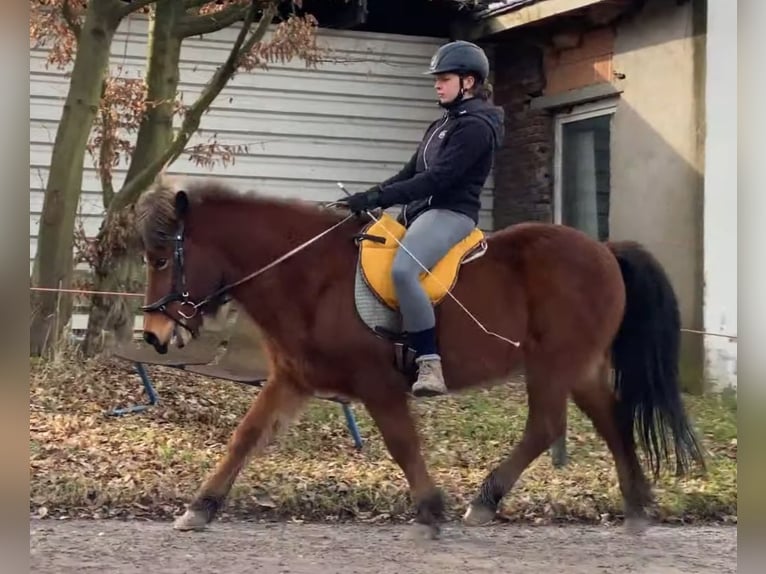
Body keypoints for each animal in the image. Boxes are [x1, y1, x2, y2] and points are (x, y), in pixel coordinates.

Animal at [135, 178, 704, 536]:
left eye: (162, 259)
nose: (154, 334)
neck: (310, 277)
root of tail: (604, 249)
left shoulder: (378, 384)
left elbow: (402, 444)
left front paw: (431, 509)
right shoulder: (292, 380)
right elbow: (245, 438)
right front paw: (200, 509)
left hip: (552, 365)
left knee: (546, 426)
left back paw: (485, 502)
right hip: (579, 367)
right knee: (611, 419)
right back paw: (635, 507)